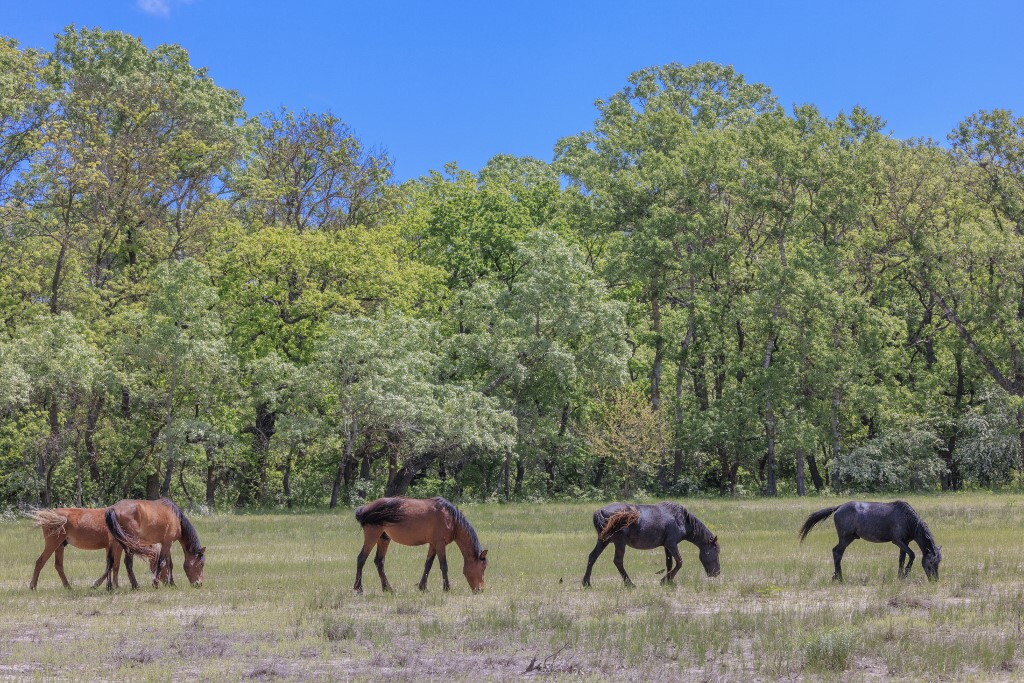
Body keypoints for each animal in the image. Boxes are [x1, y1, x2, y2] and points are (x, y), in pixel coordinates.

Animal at [352, 497, 487, 593]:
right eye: (483, 567)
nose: (480, 590)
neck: (451, 519)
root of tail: (364, 509)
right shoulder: (440, 543)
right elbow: (444, 566)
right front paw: (447, 588)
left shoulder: (433, 544)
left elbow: (428, 565)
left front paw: (422, 587)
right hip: (372, 536)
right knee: (361, 559)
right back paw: (358, 588)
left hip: (383, 538)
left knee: (379, 562)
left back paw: (387, 589)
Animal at [585, 501, 720, 589]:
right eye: (716, 551)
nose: (717, 573)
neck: (681, 519)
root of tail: (601, 511)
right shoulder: (672, 544)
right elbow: (679, 562)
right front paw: (665, 580)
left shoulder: (666, 546)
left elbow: (669, 563)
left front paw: (669, 581)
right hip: (619, 543)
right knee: (618, 561)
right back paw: (630, 584)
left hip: (603, 541)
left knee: (592, 557)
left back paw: (586, 583)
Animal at [798, 499, 942, 585]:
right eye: (930, 563)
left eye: (938, 563)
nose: (935, 580)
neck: (906, 518)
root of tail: (839, 507)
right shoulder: (897, 541)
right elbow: (912, 555)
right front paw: (905, 574)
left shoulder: (904, 543)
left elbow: (901, 559)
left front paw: (899, 576)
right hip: (845, 538)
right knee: (837, 553)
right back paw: (839, 578)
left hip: (849, 538)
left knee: (836, 552)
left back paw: (836, 577)